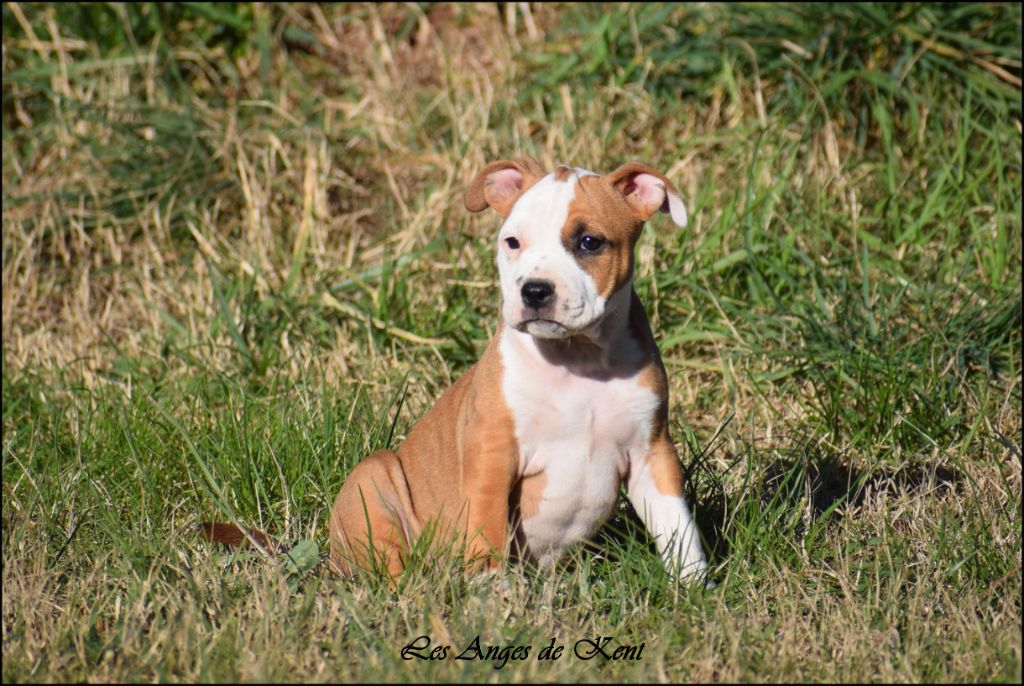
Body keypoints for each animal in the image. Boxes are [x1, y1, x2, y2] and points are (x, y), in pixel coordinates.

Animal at [331, 158, 708, 581]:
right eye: (512, 242)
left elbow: (677, 524)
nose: (536, 290)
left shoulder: (651, 452)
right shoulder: (492, 452)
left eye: (589, 242)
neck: (579, 358)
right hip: (373, 478)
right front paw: (490, 586)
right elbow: (487, 523)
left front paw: (693, 584)